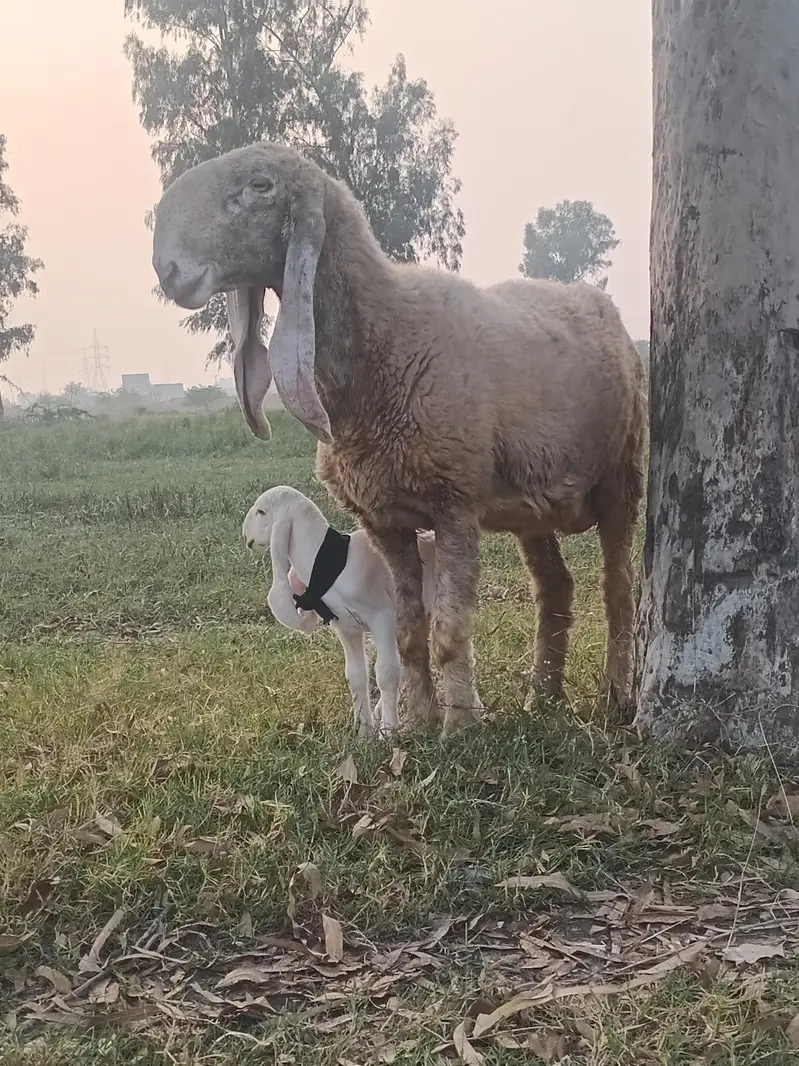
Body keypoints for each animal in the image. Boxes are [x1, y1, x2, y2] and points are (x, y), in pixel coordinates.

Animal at [242, 485, 481, 736]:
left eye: (261, 512)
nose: (247, 538)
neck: (333, 562)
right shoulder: (346, 627)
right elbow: (356, 675)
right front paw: (364, 732)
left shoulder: (382, 618)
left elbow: (387, 672)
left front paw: (388, 731)